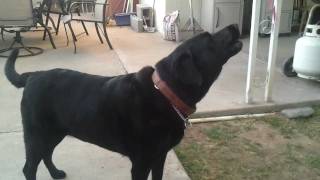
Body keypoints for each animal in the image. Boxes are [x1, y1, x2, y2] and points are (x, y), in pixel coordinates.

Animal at [4, 24, 242, 180]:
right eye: (210, 39)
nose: (235, 25)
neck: (166, 93)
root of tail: (32, 76)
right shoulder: (141, 163)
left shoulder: (160, 156)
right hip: (37, 133)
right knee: (29, 167)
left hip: (55, 132)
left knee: (46, 154)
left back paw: (55, 173)